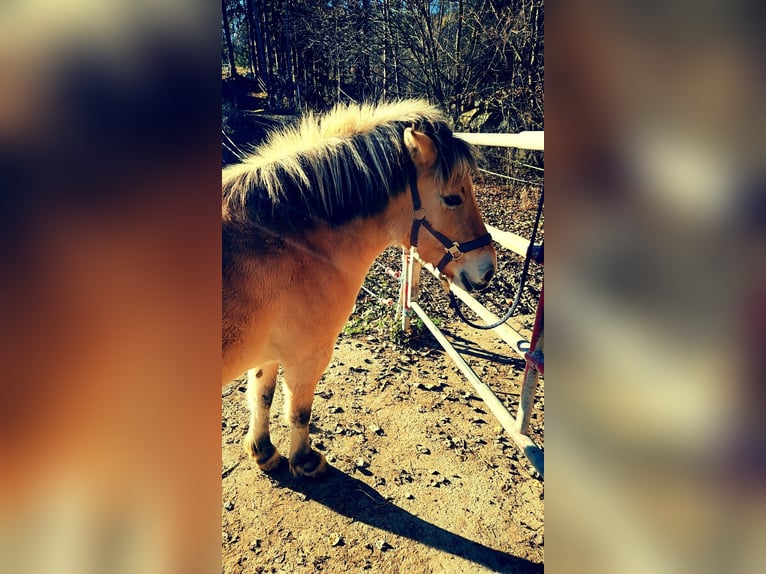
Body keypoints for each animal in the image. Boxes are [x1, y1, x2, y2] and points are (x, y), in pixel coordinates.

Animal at [222, 100, 497, 477]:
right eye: (453, 198)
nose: (488, 270)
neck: (288, 241)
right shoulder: (308, 357)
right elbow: (299, 411)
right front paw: (305, 461)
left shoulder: (268, 354)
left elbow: (261, 397)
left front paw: (264, 453)